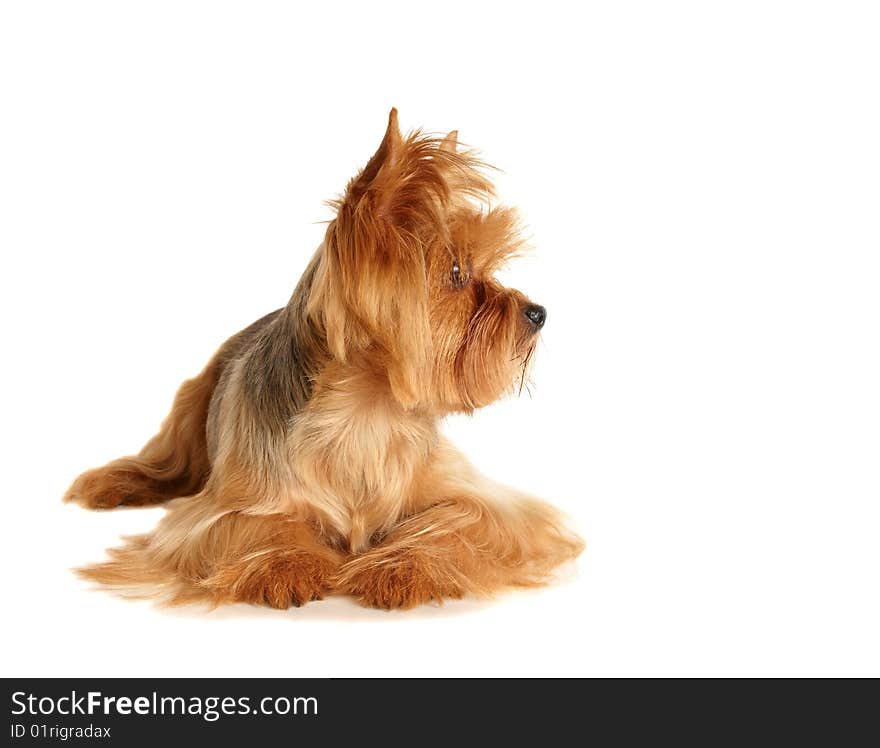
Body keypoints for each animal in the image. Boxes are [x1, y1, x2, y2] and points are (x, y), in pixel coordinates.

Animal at [67, 109, 584, 608]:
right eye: (457, 272)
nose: (537, 312)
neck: (367, 409)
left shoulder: (487, 503)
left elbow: (457, 525)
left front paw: (400, 568)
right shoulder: (219, 512)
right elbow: (253, 524)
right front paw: (285, 564)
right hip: (192, 403)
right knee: (168, 462)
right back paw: (114, 484)